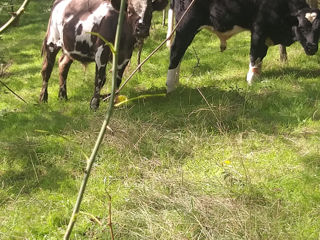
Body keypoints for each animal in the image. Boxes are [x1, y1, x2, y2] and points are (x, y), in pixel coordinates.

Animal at [40, 0, 168, 109]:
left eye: (150, 11)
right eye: (129, 11)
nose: (141, 30)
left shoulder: (125, 54)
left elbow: (117, 79)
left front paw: (113, 101)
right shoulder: (101, 51)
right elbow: (100, 78)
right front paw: (94, 104)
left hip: (70, 48)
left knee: (63, 65)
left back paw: (62, 96)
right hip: (52, 42)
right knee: (47, 69)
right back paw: (43, 98)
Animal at [165, 0, 320, 92]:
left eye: (318, 29)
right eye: (302, 28)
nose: (312, 47)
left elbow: (261, 56)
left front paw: (257, 76)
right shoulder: (258, 29)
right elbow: (255, 54)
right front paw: (251, 80)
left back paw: (176, 82)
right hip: (185, 26)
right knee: (175, 52)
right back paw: (171, 86)